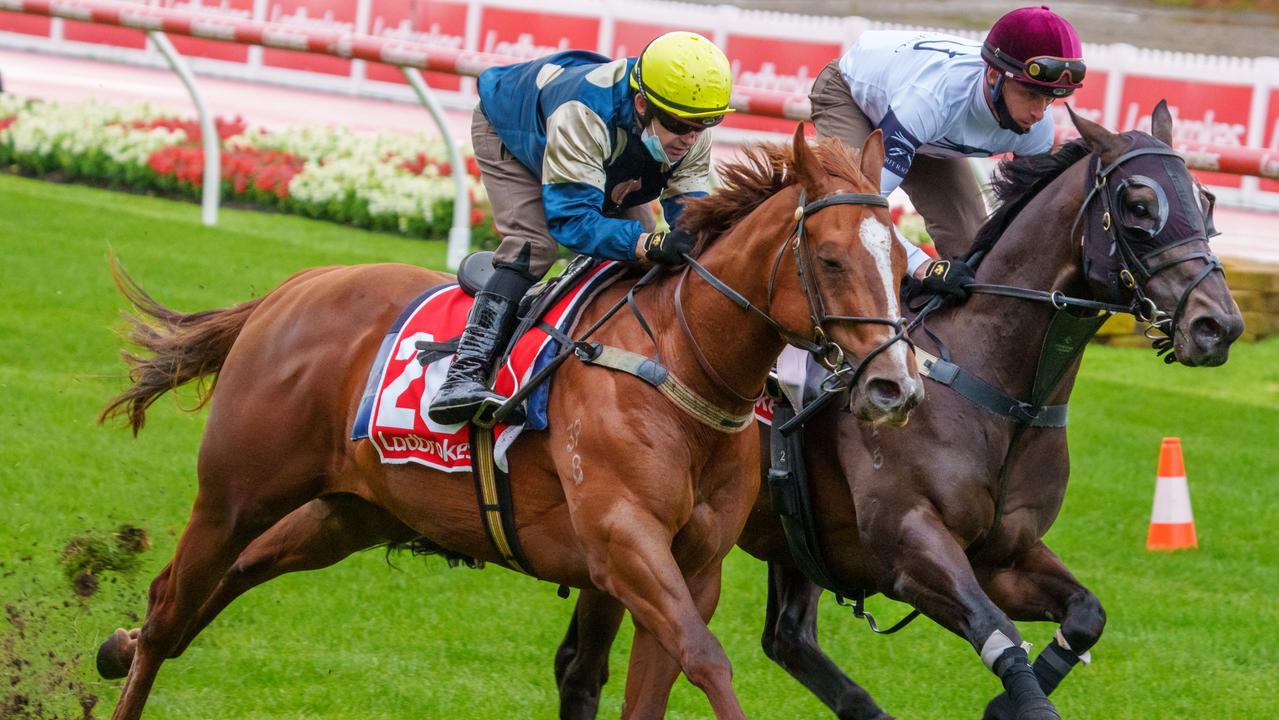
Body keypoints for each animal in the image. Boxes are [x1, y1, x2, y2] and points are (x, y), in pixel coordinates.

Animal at [97, 126, 920, 716]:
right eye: (832, 259)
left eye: (903, 262)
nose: (894, 386)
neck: (679, 362)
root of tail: (290, 289)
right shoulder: (624, 539)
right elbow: (708, 661)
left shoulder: (692, 565)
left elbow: (651, 682)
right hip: (236, 491)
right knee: (172, 603)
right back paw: (135, 649)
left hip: (349, 511)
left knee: (230, 578)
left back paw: (117, 647)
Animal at [552, 104, 1248, 716]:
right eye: (1139, 206)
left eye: (1207, 202)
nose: (1218, 325)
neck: (998, 389)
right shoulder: (909, 546)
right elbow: (998, 633)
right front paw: (1015, 703)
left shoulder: (1004, 553)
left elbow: (1085, 615)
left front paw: (1003, 704)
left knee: (785, 638)